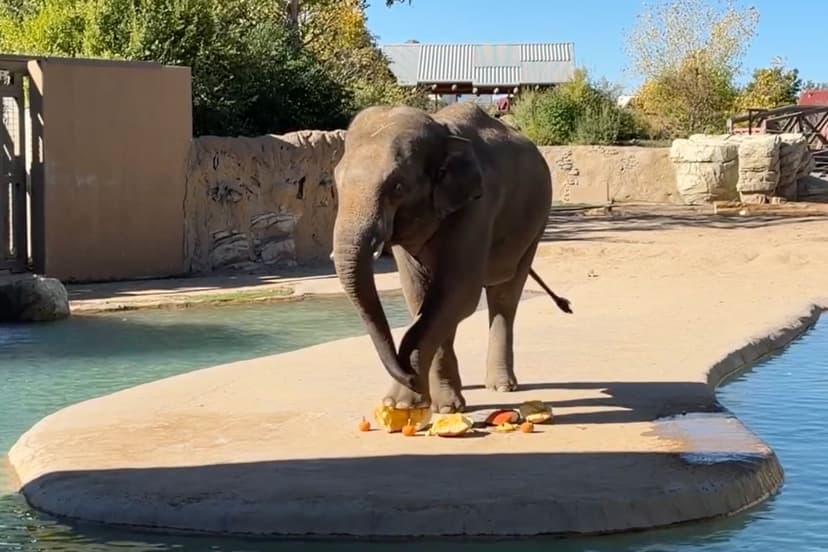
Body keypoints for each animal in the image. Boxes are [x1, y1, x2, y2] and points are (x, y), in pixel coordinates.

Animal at [331, 102, 571, 414]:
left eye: (398, 187)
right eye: (336, 180)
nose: (408, 374)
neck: (441, 130)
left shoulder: (477, 207)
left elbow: (457, 293)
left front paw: (417, 404)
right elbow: (420, 296)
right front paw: (416, 402)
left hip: (535, 225)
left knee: (505, 295)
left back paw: (501, 386)